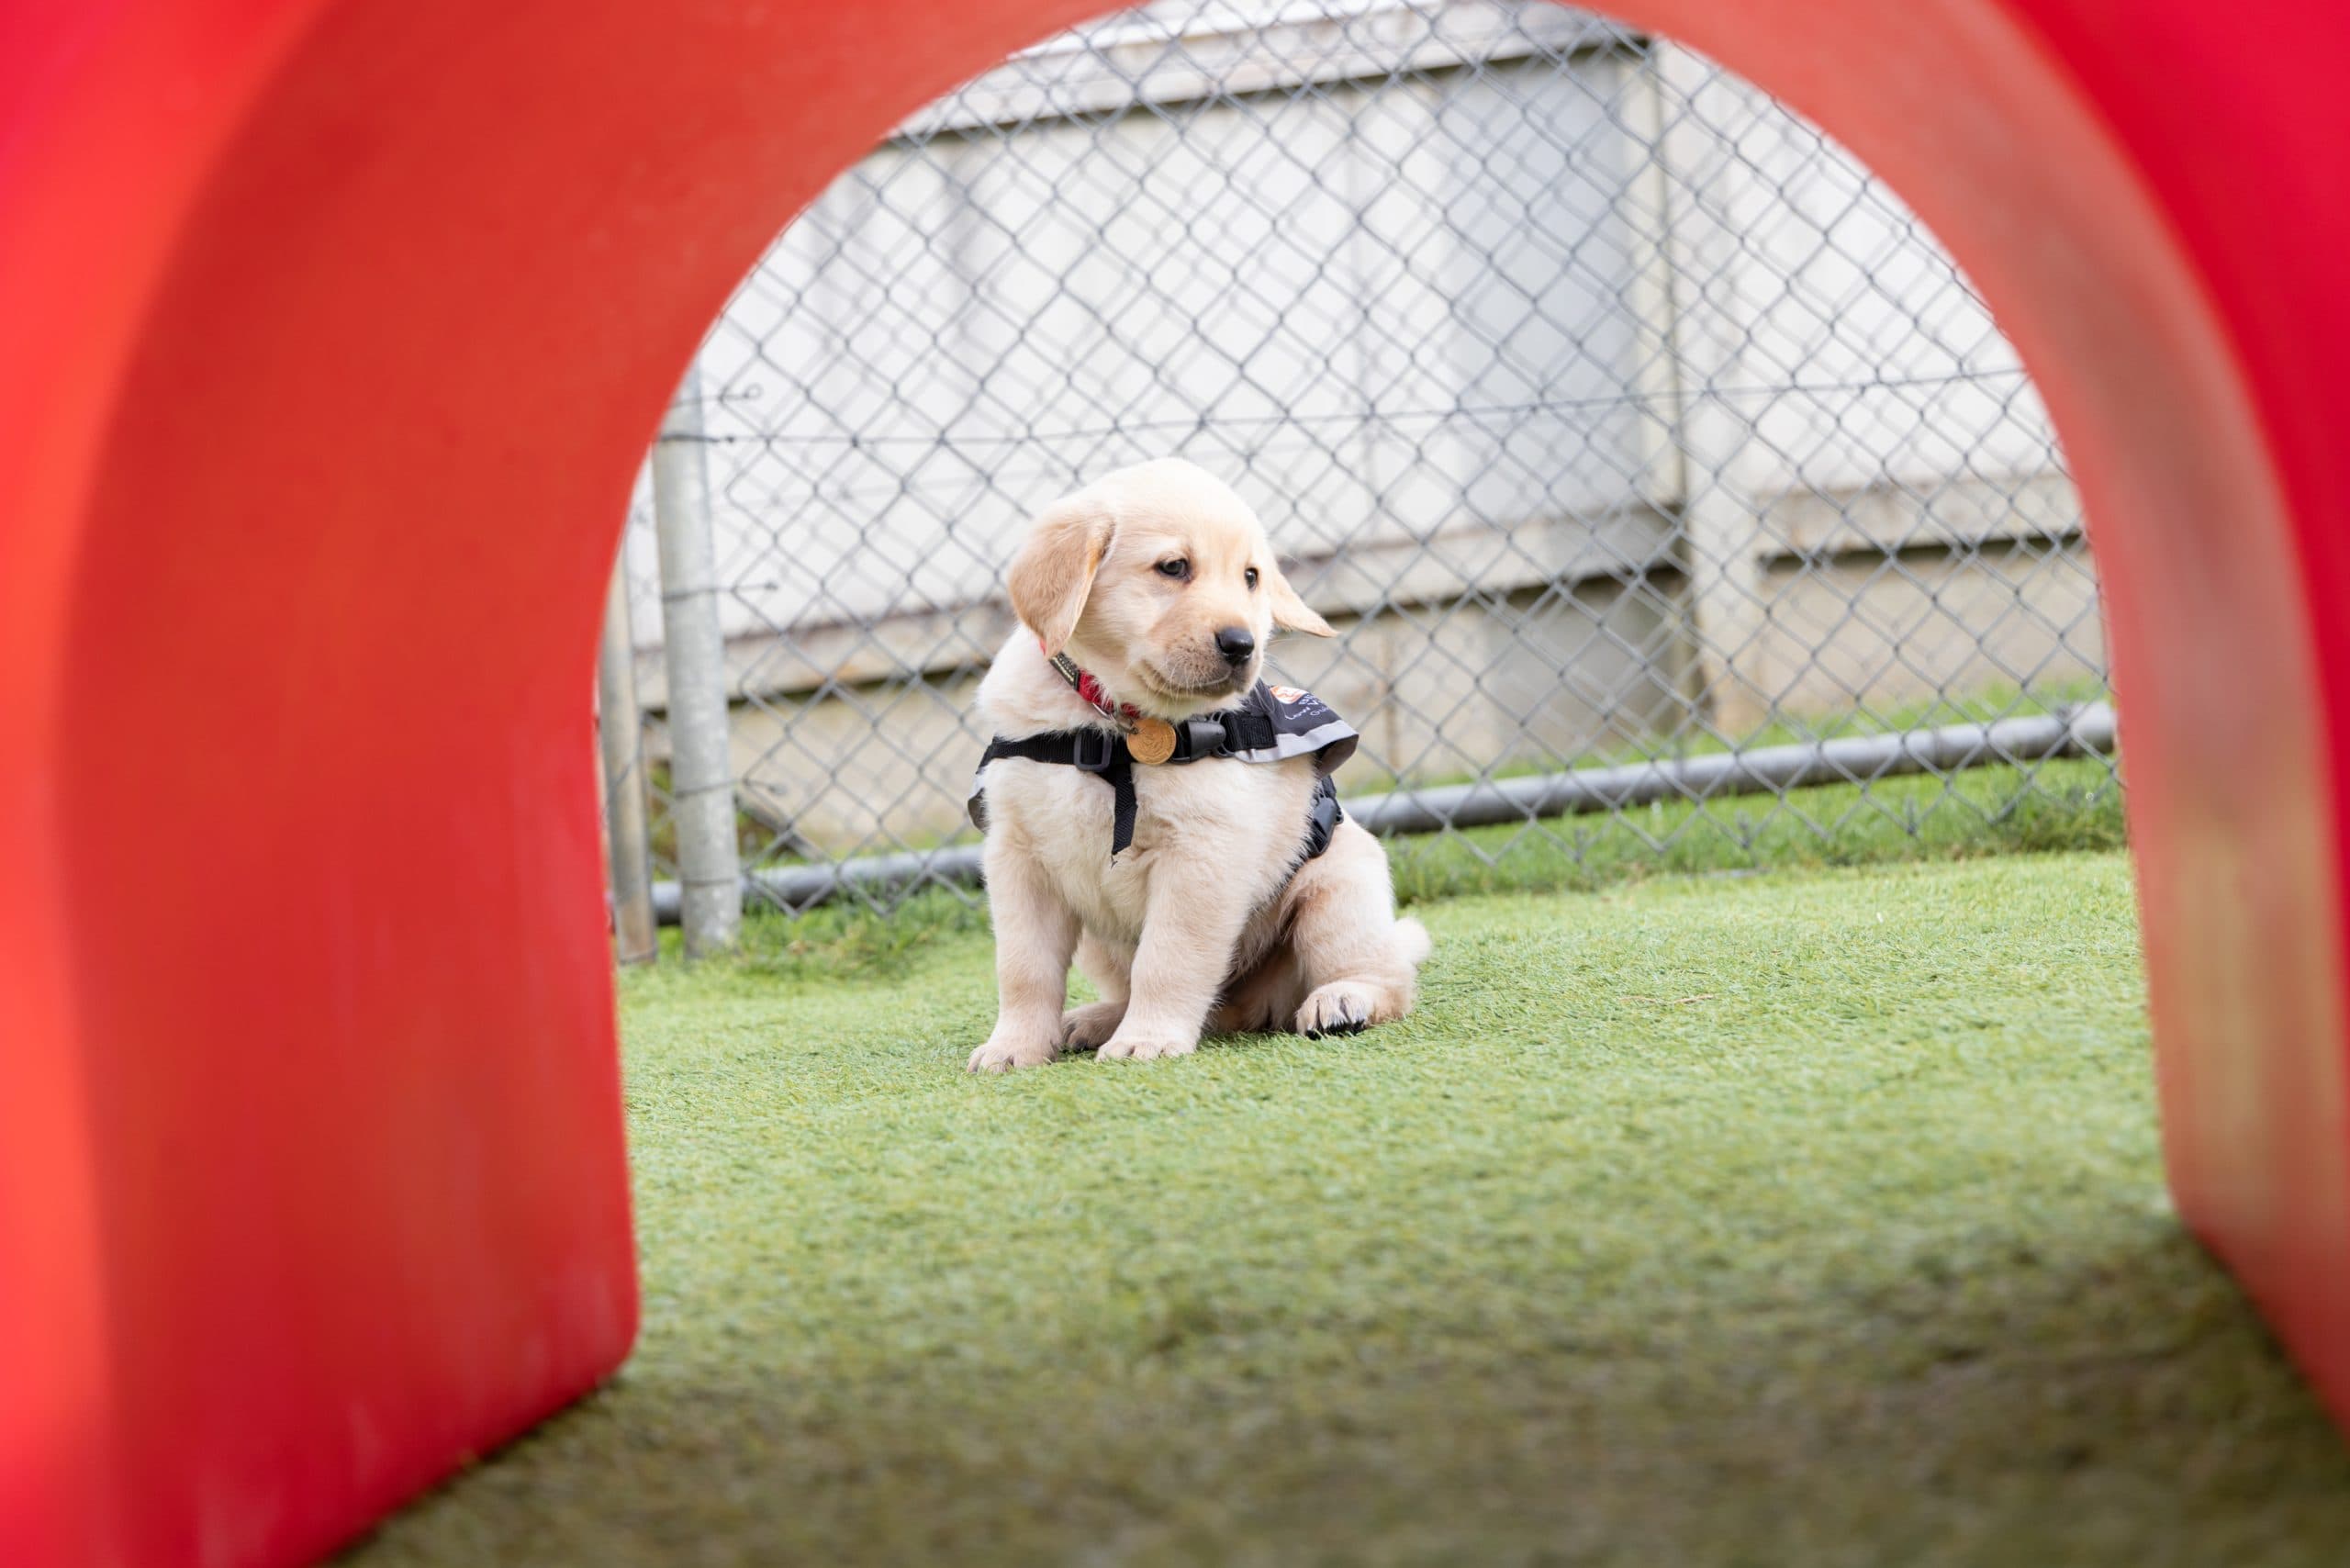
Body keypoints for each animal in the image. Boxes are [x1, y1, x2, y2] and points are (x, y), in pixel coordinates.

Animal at [963, 454, 1419, 1067]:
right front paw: (1014, 1046)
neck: (1115, 725)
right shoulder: (1019, 859)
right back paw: (1096, 1020)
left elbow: (1168, 958)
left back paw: (1343, 1000)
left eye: (1251, 577)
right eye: (1174, 567)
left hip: (1339, 888)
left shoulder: (1202, 856)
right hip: (1101, 944)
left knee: (1385, 976)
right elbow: (1023, 969)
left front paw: (1147, 1040)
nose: (1243, 645)